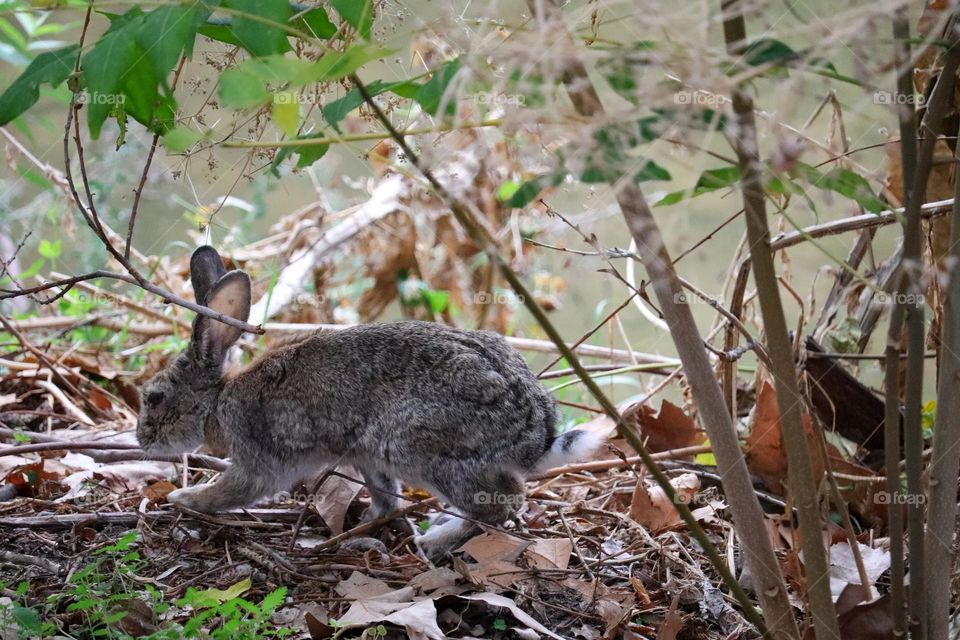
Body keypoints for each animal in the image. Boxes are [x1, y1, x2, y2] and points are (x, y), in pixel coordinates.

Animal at [135, 245, 600, 560]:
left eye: (154, 398)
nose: (141, 440)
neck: (218, 401)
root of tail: (535, 432)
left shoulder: (257, 460)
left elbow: (233, 490)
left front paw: (184, 500)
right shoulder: (365, 461)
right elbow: (386, 501)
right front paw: (365, 527)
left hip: (421, 448)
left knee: (503, 503)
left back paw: (434, 542)